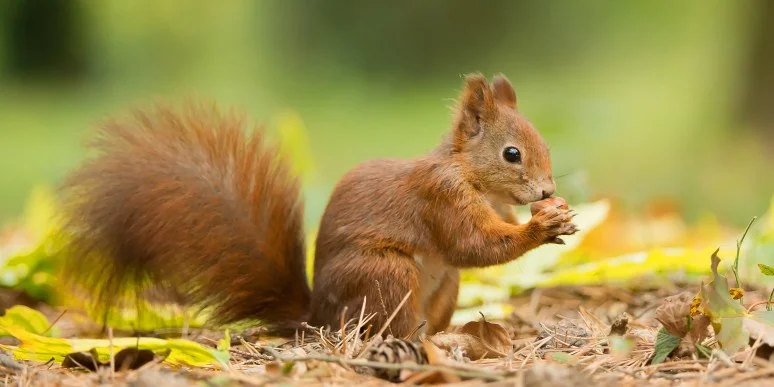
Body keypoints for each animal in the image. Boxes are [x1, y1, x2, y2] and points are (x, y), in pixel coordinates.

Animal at [59, 73, 576, 340]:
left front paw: (551, 216)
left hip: (443, 287)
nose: (546, 191)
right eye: (512, 153)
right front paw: (541, 228)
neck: (469, 173)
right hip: (383, 275)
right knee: (386, 327)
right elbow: (473, 245)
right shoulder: (440, 197)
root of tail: (317, 317)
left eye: (546, 144)